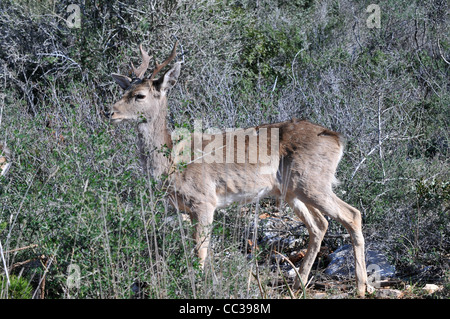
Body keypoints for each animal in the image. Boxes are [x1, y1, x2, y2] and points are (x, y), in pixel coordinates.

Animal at [108, 42, 370, 298]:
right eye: (123, 91)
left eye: (139, 95)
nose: (110, 111)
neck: (171, 163)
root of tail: (337, 139)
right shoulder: (187, 209)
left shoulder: (204, 201)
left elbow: (200, 252)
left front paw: (199, 288)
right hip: (292, 191)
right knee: (319, 224)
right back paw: (299, 285)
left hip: (313, 182)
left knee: (352, 214)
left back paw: (361, 287)